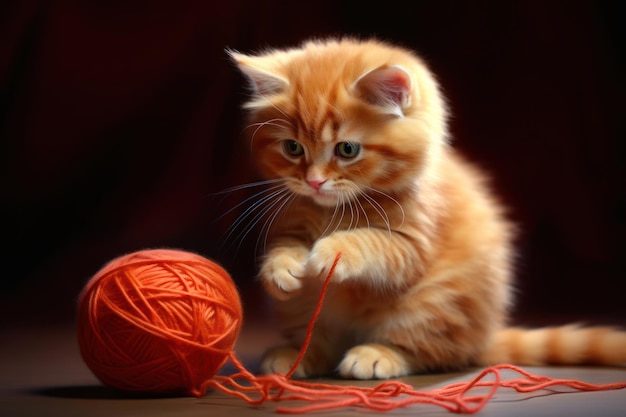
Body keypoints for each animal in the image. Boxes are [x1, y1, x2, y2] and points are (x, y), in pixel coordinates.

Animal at [228, 37, 624, 378]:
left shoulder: (412, 243)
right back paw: (297, 354)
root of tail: (483, 338)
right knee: (320, 341)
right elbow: (285, 245)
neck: (334, 210)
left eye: (347, 150)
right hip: (304, 309)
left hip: (436, 301)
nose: (313, 182)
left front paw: (331, 250)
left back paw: (375, 355)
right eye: (292, 148)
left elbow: (367, 241)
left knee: (428, 351)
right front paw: (282, 269)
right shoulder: (289, 221)